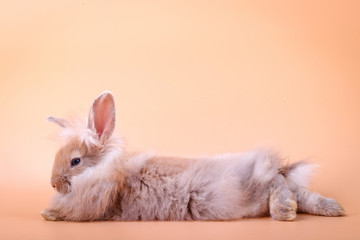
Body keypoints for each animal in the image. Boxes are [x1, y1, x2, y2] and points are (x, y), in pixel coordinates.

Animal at [40, 91, 346, 221]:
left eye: (76, 161)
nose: (53, 184)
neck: (106, 172)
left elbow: (72, 212)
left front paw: (48, 214)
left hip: (245, 189)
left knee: (277, 183)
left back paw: (284, 212)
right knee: (299, 192)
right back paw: (334, 209)